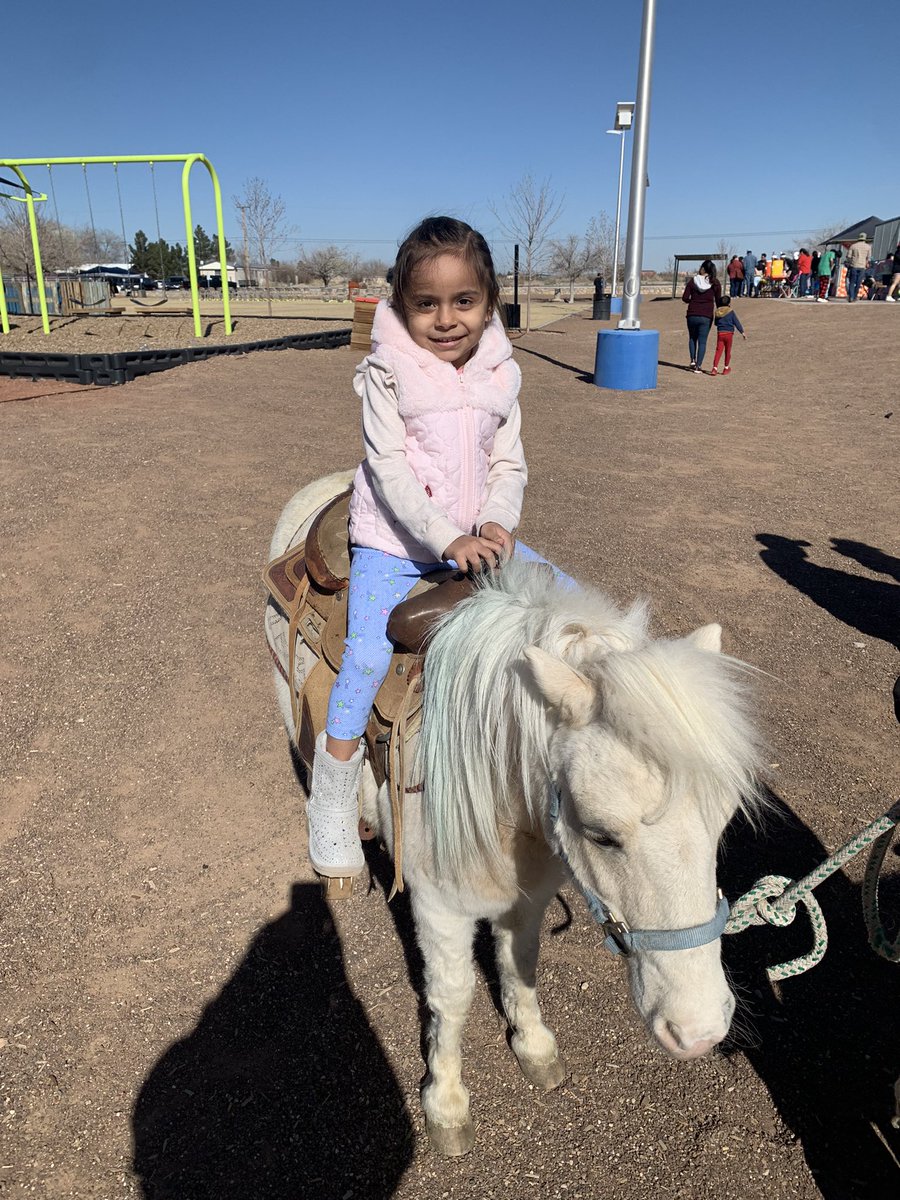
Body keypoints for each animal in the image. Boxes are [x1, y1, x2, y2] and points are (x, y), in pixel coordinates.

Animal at [264, 475, 763, 1152]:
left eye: (723, 825)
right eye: (601, 834)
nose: (700, 1030)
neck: (505, 795)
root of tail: (329, 488)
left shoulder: (529, 896)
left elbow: (518, 965)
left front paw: (535, 1048)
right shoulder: (440, 908)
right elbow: (452, 996)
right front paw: (446, 1103)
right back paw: (338, 849)